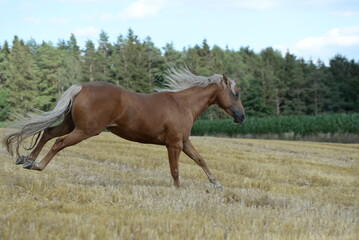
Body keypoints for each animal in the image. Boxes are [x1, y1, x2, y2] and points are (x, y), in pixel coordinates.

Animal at [2, 67, 245, 188]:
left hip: (70, 124)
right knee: (59, 142)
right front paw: (178, 191)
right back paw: (36, 165)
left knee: (48, 133)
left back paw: (26, 159)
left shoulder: (184, 142)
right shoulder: (174, 144)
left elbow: (200, 159)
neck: (182, 104)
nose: (241, 117)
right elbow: (175, 170)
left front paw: (217, 184)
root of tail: (81, 87)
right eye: (236, 93)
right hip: (85, 130)